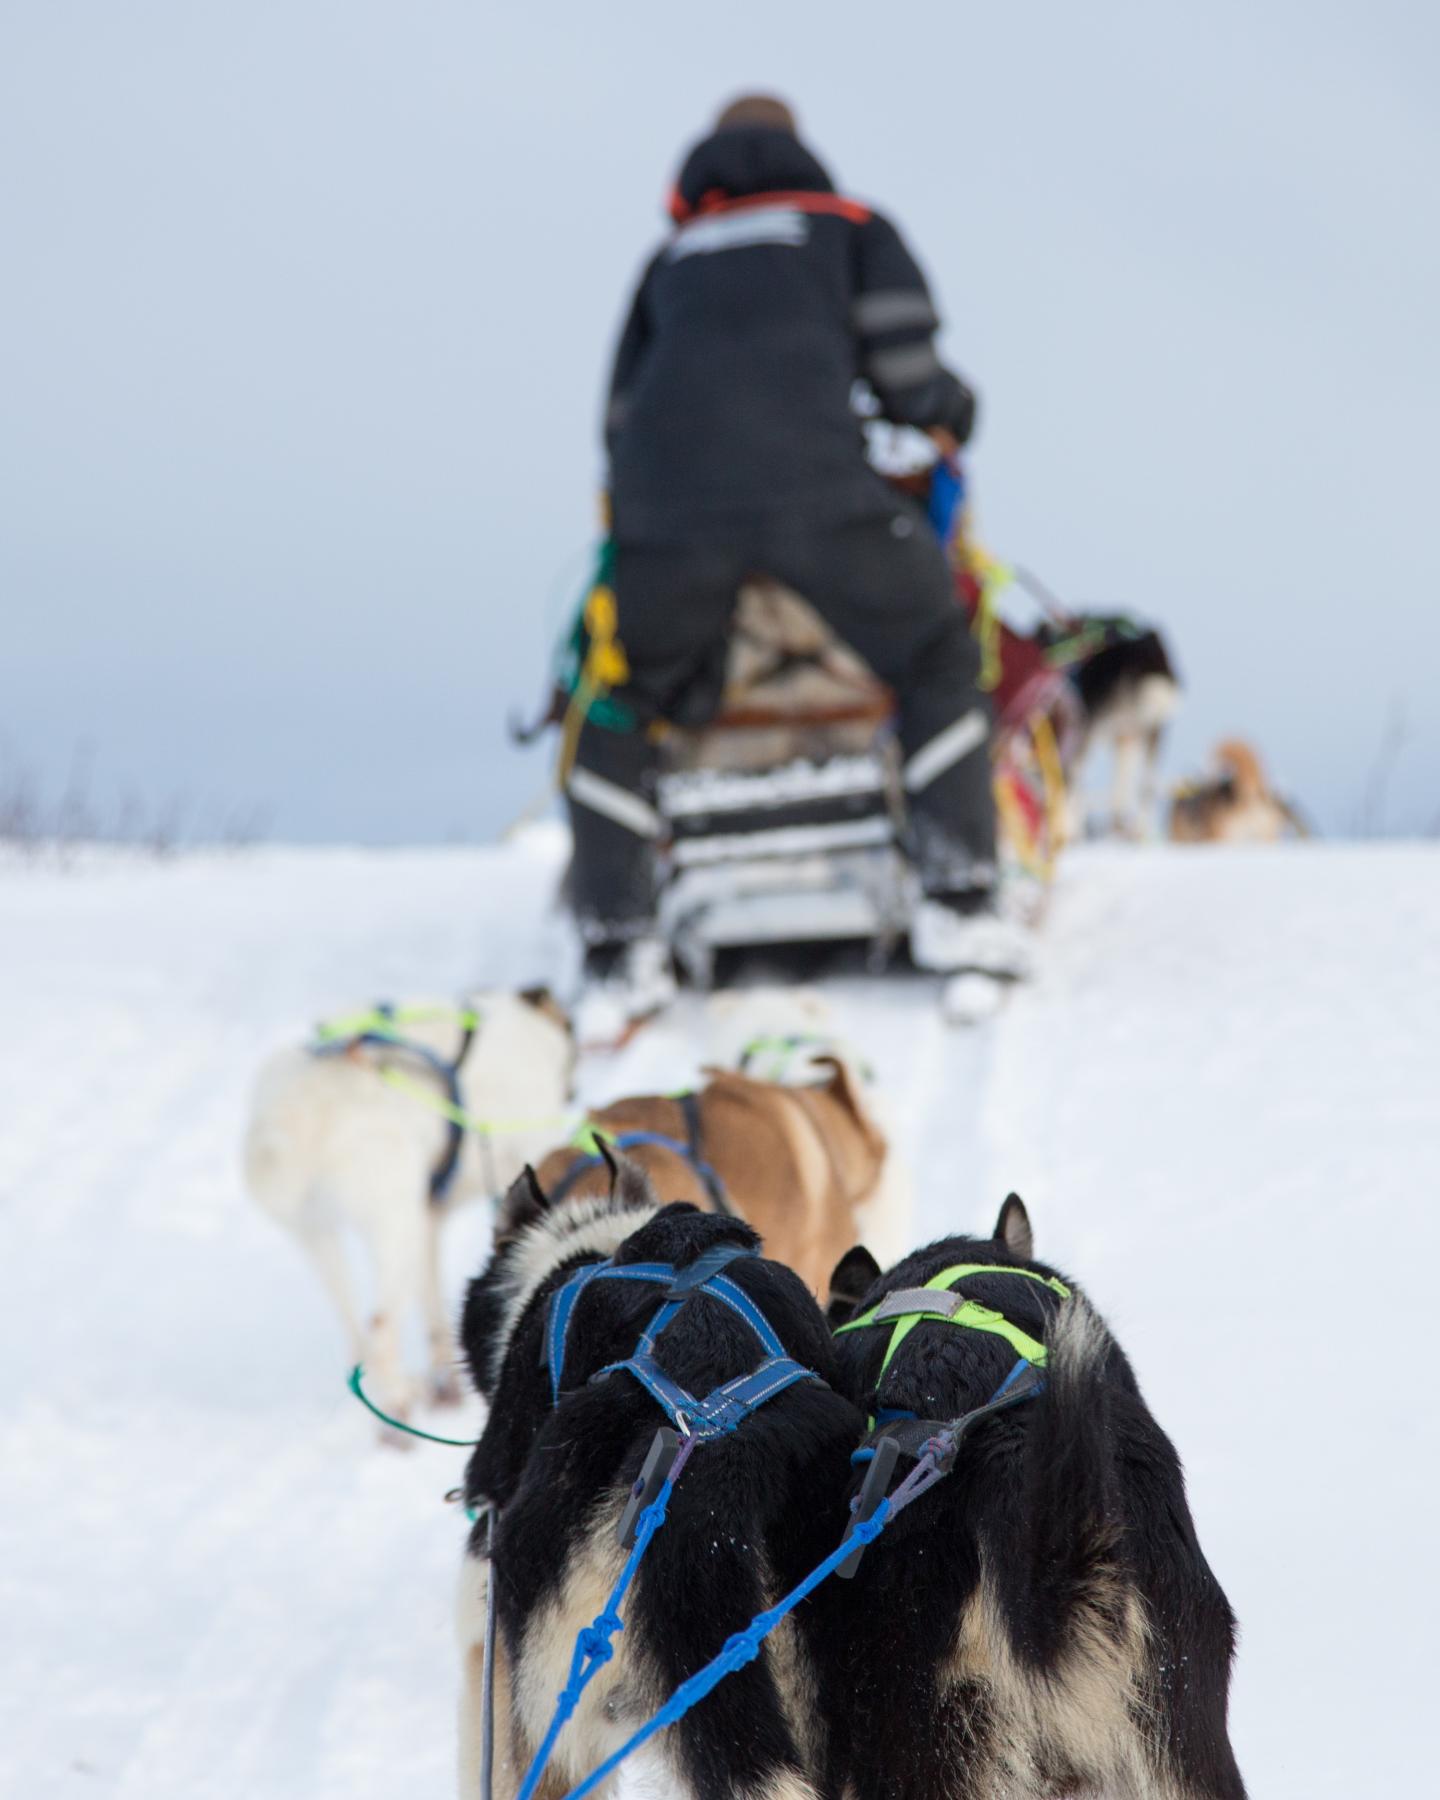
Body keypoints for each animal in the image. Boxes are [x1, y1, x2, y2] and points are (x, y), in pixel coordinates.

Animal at [241, 993, 568, 1425]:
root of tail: (292, 1114)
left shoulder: (429, 1222)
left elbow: (433, 1313)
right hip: (393, 1226)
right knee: (379, 1324)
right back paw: (397, 1404)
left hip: (323, 1236)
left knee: (355, 1328)